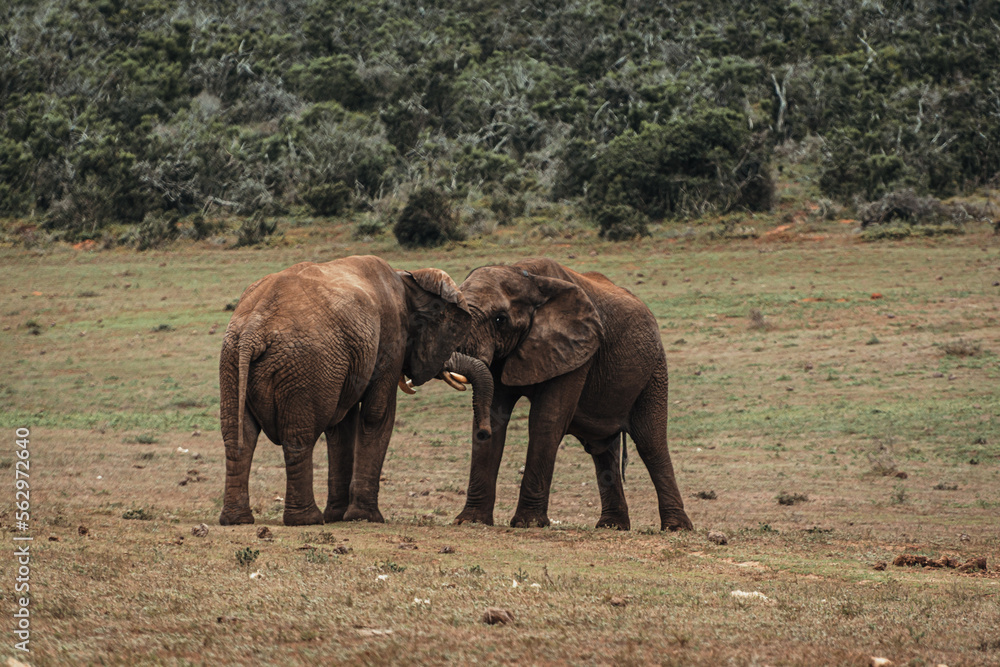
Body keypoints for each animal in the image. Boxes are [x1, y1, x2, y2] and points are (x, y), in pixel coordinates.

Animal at [218, 255, 493, 526]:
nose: (484, 433)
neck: (408, 279)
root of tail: (253, 331)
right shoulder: (391, 336)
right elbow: (377, 415)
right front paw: (367, 517)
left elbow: (342, 427)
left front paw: (338, 516)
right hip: (304, 367)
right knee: (298, 437)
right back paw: (307, 520)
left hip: (233, 361)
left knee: (238, 436)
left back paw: (237, 520)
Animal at [445, 257, 693, 532]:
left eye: (500, 319)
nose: (483, 432)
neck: (524, 274)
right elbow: (496, 415)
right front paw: (471, 521)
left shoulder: (577, 350)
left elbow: (546, 420)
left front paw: (529, 523)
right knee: (603, 450)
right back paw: (611, 526)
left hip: (654, 369)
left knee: (650, 442)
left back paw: (676, 528)